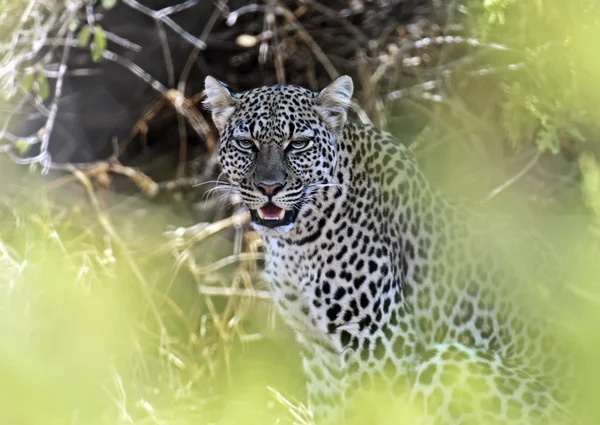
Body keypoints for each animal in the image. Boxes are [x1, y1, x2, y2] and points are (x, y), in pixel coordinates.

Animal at [204, 74, 580, 422]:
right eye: (246, 143)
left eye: (297, 143)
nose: (269, 187)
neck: (296, 242)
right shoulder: (319, 349)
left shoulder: (379, 341)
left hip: (449, 363)